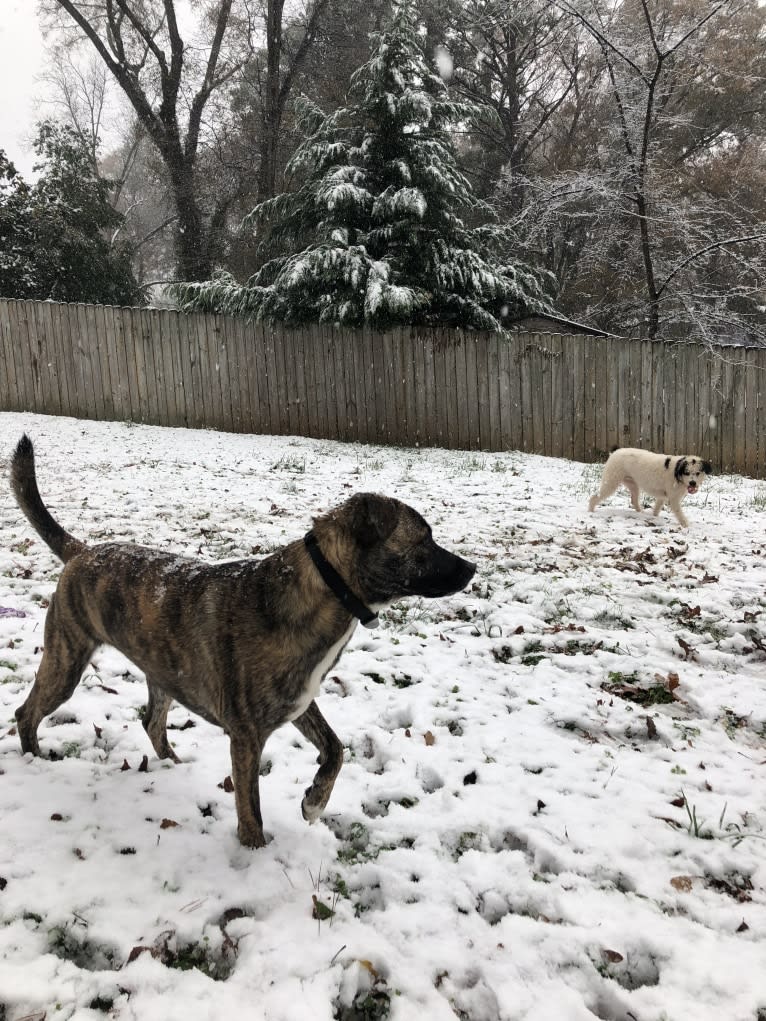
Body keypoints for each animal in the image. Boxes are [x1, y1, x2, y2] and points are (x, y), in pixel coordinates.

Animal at [10, 434, 480, 849]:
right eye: (424, 539)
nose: (472, 569)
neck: (324, 589)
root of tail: (81, 552)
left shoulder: (298, 701)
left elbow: (335, 749)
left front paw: (314, 801)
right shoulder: (247, 736)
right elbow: (250, 811)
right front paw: (256, 854)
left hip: (162, 672)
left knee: (152, 722)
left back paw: (173, 766)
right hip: (65, 660)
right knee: (25, 712)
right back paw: (34, 760)